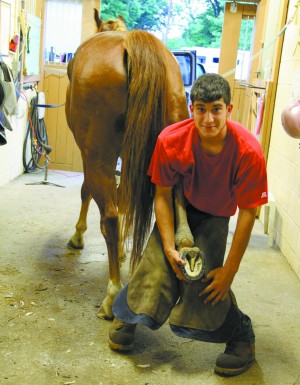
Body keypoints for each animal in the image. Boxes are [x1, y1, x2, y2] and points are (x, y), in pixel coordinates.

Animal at [65, 14, 195, 318]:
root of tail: (132, 44)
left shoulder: (92, 156)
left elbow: (87, 192)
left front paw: (78, 235)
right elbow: (124, 197)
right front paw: (123, 251)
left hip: (98, 157)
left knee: (109, 217)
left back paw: (112, 295)